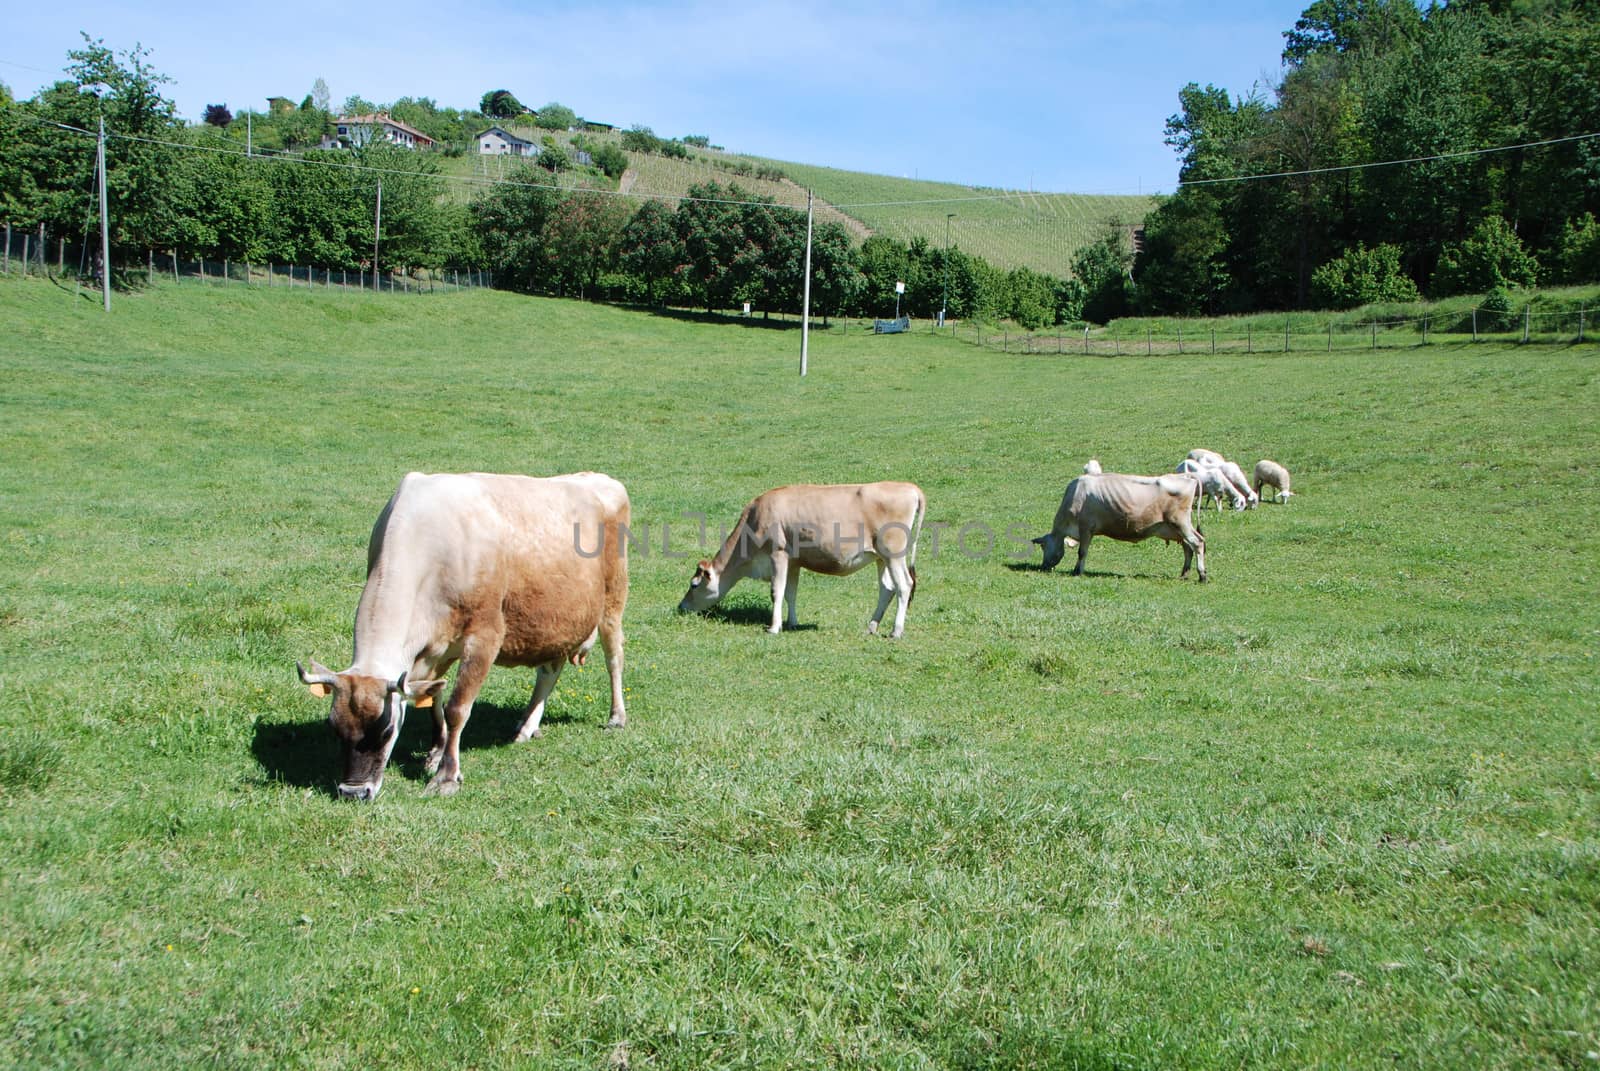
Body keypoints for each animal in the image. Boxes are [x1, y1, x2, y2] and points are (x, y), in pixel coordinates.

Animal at [297, 470, 627, 797]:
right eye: (334, 727)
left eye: (386, 729)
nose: (353, 791)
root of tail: (598, 478)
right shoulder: (435, 646)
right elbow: (434, 699)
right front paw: (435, 753)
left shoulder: (485, 636)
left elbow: (457, 708)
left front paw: (446, 775)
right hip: (556, 621)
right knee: (549, 671)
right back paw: (527, 725)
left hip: (613, 600)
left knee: (614, 658)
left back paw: (616, 717)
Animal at [675, 483, 928, 633]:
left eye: (694, 584)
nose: (681, 606)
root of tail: (910, 487)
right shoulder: (794, 561)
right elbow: (790, 593)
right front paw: (792, 622)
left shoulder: (777, 553)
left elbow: (776, 592)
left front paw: (774, 627)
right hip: (880, 557)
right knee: (887, 588)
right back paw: (871, 627)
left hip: (894, 553)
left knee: (904, 585)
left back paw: (896, 630)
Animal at [1030, 470, 1203, 579]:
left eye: (1043, 546)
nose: (1043, 567)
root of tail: (1187, 476)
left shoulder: (1086, 527)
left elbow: (1082, 552)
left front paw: (1077, 571)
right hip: (1175, 528)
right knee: (1188, 547)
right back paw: (1184, 574)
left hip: (1180, 522)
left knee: (1198, 543)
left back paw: (1202, 575)